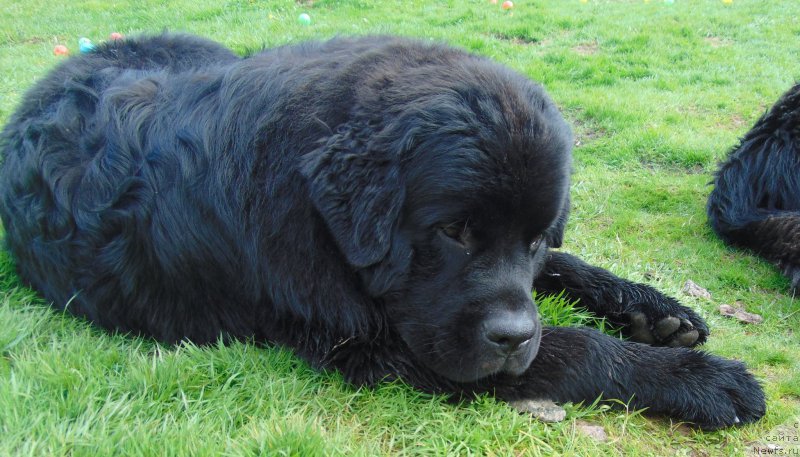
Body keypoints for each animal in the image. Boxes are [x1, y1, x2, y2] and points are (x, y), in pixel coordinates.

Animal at [0, 33, 764, 428]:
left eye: (535, 236)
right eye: (452, 230)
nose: (512, 336)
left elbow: (567, 269)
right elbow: (573, 347)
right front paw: (703, 379)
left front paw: (657, 312)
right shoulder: (390, 347)